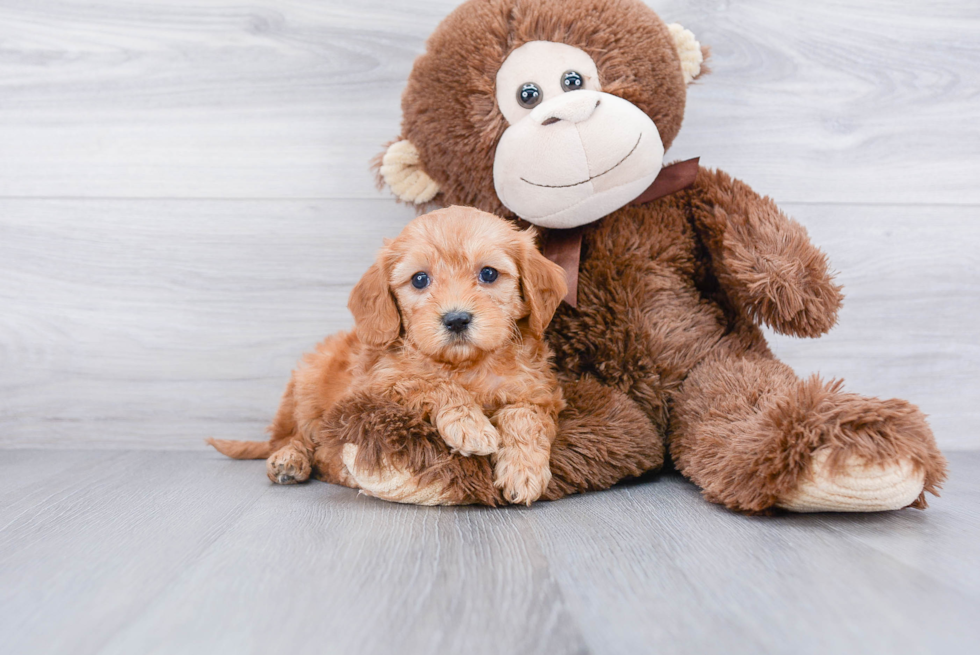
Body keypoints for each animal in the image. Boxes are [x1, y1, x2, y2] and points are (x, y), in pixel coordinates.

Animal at [211, 208, 572, 504]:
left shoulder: (540, 393)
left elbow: (524, 417)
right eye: (420, 279)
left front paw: (523, 470)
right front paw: (469, 425)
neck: (464, 365)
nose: (456, 319)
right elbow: (429, 383)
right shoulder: (376, 387)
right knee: (298, 438)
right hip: (308, 386)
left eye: (489, 274)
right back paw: (291, 460)